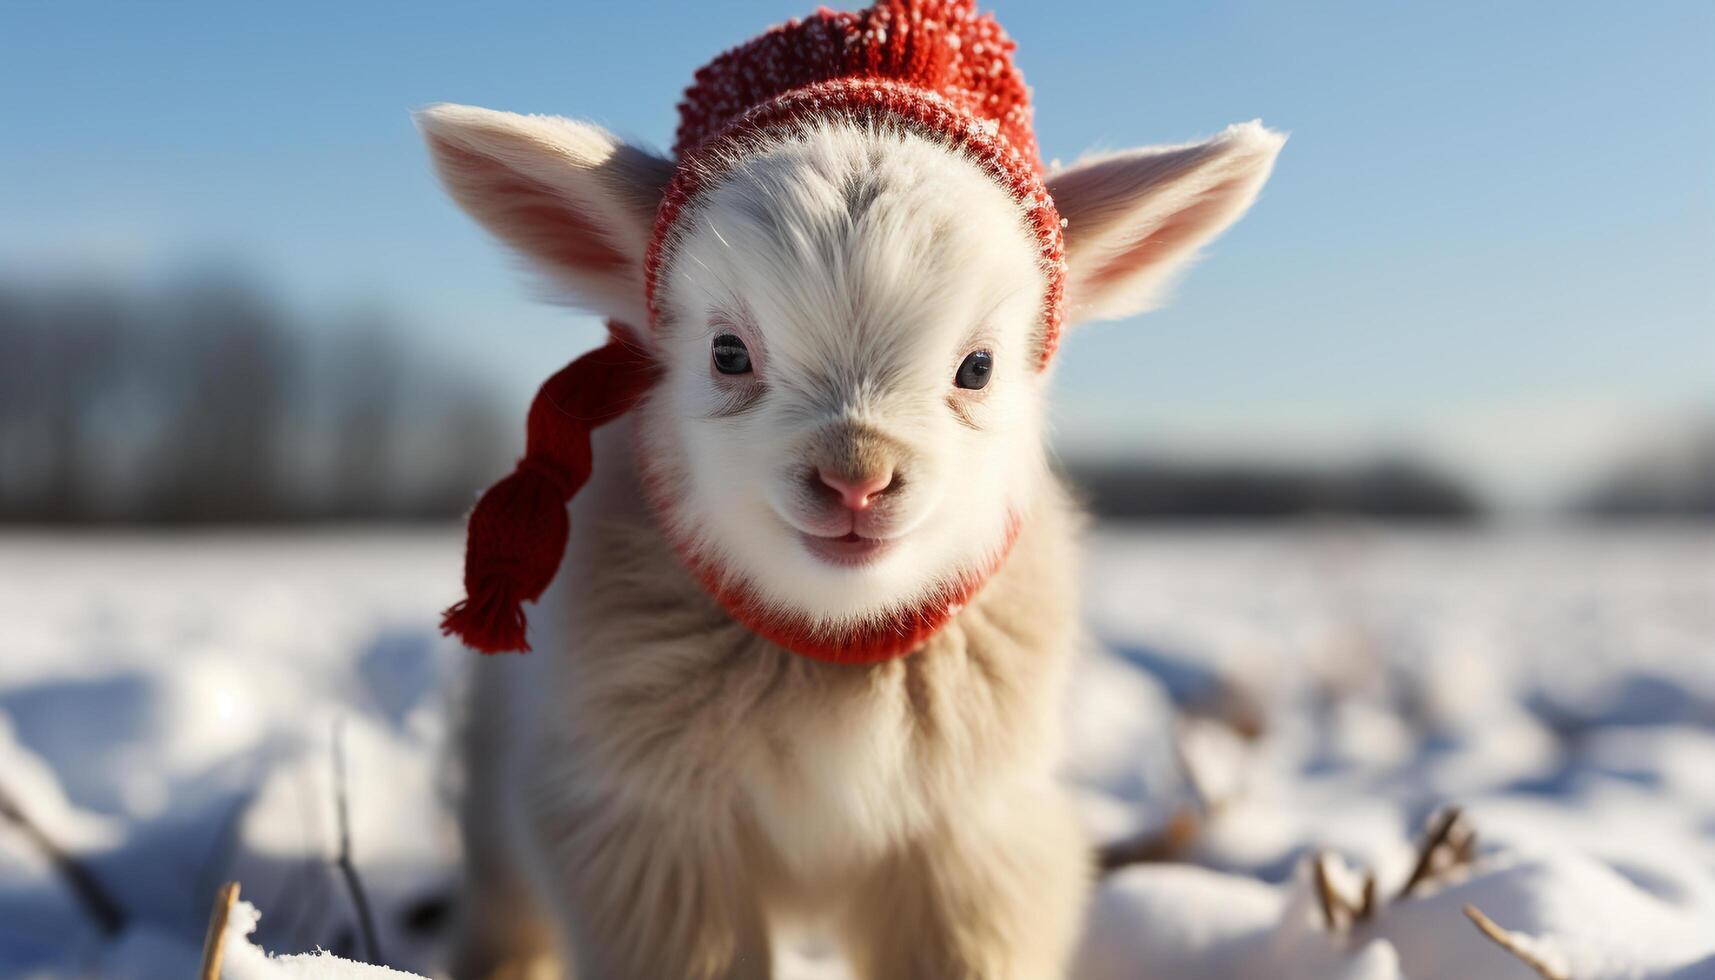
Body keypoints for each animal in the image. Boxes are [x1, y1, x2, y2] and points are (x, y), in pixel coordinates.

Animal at [411, 3, 1275, 974]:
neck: (834, 637)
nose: (854, 479)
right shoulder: (646, 835)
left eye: (977, 367)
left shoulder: (971, 846)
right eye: (727, 353)